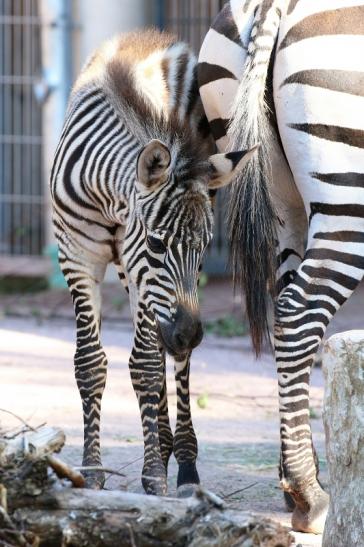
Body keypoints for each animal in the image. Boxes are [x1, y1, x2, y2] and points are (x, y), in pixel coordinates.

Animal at [50, 28, 256, 496]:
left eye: (204, 248)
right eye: (158, 244)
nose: (191, 334)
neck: (107, 195)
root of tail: (154, 37)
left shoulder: (139, 262)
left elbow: (146, 365)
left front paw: (154, 475)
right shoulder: (77, 255)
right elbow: (90, 364)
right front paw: (91, 472)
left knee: (173, 362)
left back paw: (182, 460)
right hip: (130, 278)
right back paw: (161, 444)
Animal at [198, 0, 364, 536]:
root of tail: (278, 5)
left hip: (281, 194)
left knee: (289, 309)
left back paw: (297, 485)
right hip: (347, 192)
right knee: (298, 311)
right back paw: (310, 496)